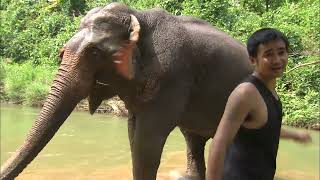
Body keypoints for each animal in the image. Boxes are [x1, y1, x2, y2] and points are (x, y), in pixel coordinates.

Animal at [1, 2, 254, 180]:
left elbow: (147, 140)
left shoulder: (173, 77)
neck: (138, 15)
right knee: (194, 139)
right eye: (62, 52)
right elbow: (134, 135)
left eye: (94, 53)